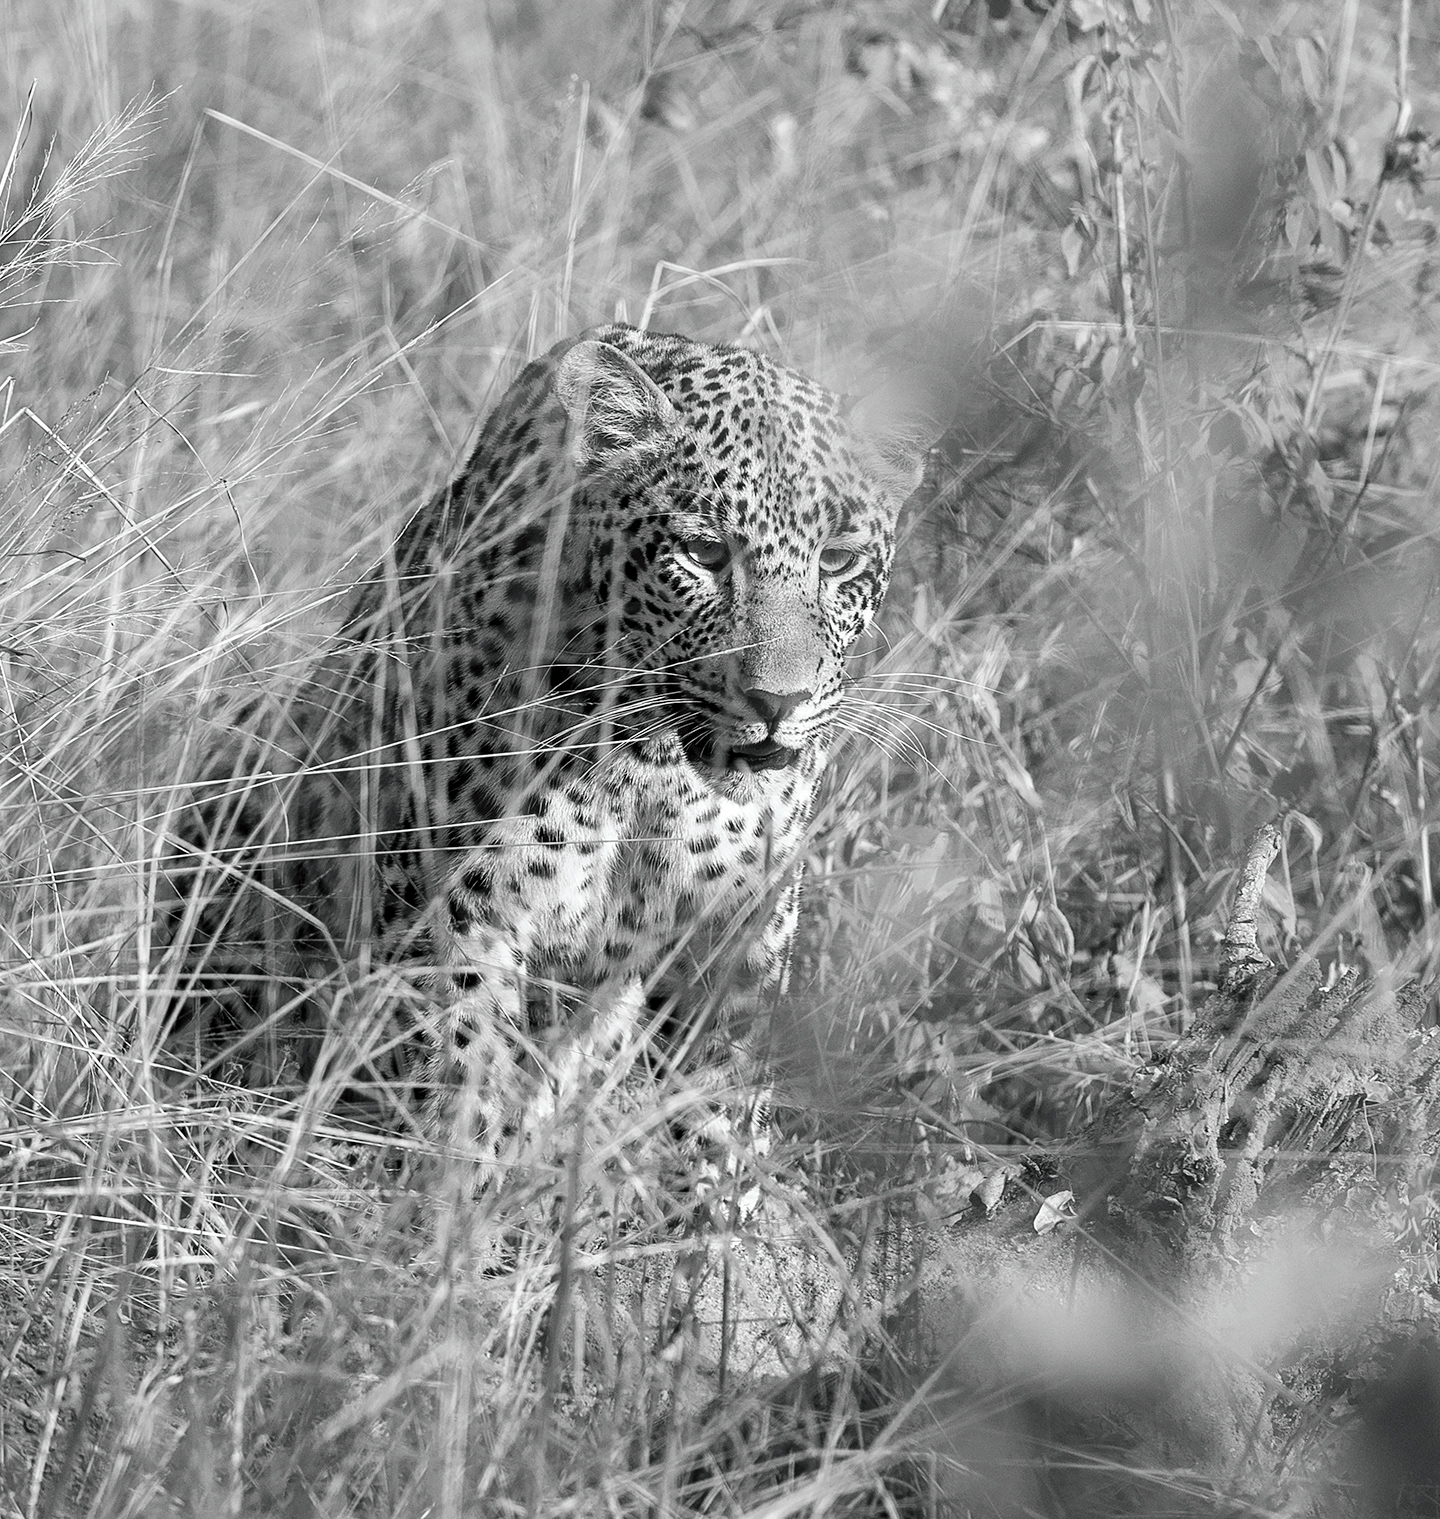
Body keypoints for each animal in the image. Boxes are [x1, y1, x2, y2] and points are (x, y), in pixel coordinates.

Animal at [173, 323, 952, 1159]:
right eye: (704, 553)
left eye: (838, 561)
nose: (780, 700)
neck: (655, 768)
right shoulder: (461, 915)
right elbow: (463, 1074)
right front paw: (449, 1187)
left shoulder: (740, 937)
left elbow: (721, 1101)